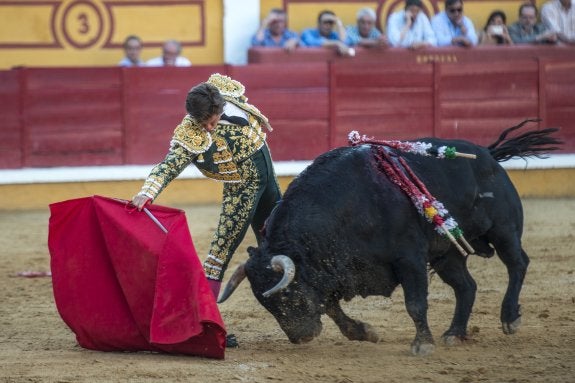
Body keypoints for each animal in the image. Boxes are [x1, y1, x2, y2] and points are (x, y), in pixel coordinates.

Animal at [218, 123, 560, 356]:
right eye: (265, 304)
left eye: (287, 296)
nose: (302, 337)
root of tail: (489, 155)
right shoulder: (332, 269)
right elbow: (332, 307)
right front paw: (364, 332)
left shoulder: (409, 258)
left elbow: (415, 303)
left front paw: (422, 344)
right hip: (446, 255)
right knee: (466, 286)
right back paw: (454, 332)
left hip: (503, 230)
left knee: (517, 264)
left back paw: (509, 318)